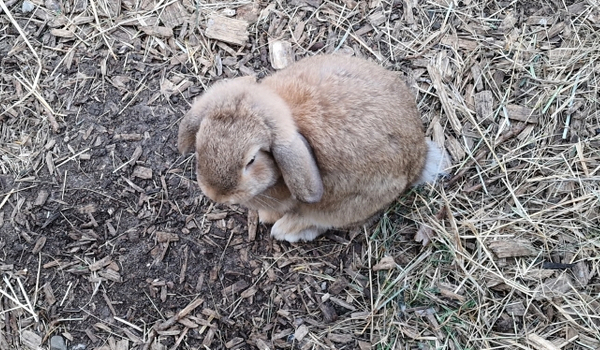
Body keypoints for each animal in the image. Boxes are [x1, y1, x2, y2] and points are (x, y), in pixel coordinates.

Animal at [176, 54, 448, 242]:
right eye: (200, 143)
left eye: (251, 160)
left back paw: (288, 229)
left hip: (346, 204)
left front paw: (267, 218)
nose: (216, 195)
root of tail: (419, 160)